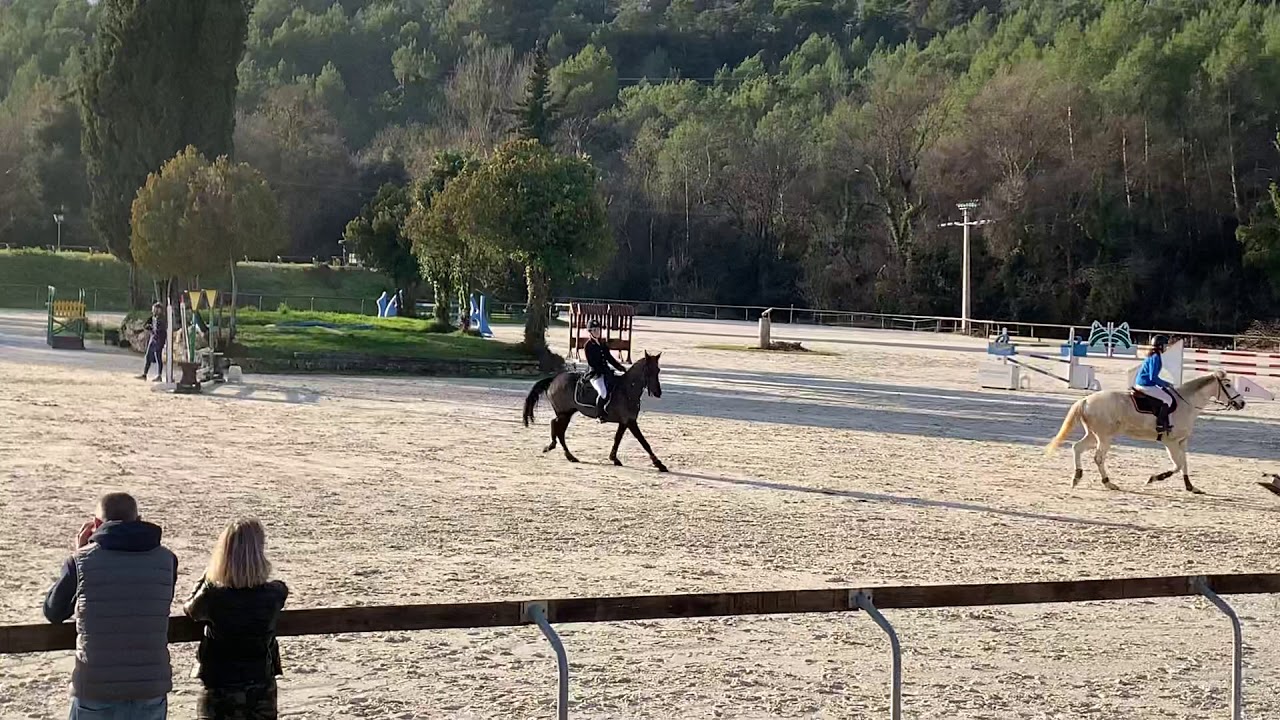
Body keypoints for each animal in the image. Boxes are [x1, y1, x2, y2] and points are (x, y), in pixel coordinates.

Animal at [522, 351, 668, 472]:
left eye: (658, 370)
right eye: (648, 370)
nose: (658, 392)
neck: (627, 390)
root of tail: (554, 379)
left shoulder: (625, 421)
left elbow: (617, 439)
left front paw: (614, 458)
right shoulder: (631, 422)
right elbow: (644, 442)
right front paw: (659, 464)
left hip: (567, 413)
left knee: (557, 427)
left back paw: (566, 454)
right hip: (564, 413)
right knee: (557, 427)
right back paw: (560, 451)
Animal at [1044, 370, 1244, 494]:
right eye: (1228, 385)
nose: (1241, 403)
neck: (1186, 403)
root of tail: (1085, 400)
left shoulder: (1182, 442)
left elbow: (1185, 464)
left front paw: (1191, 487)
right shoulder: (1170, 442)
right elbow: (1178, 465)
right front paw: (1155, 478)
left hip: (1094, 435)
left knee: (1077, 447)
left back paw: (1077, 477)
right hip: (1104, 437)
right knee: (1098, 458)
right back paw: (1109, 483)